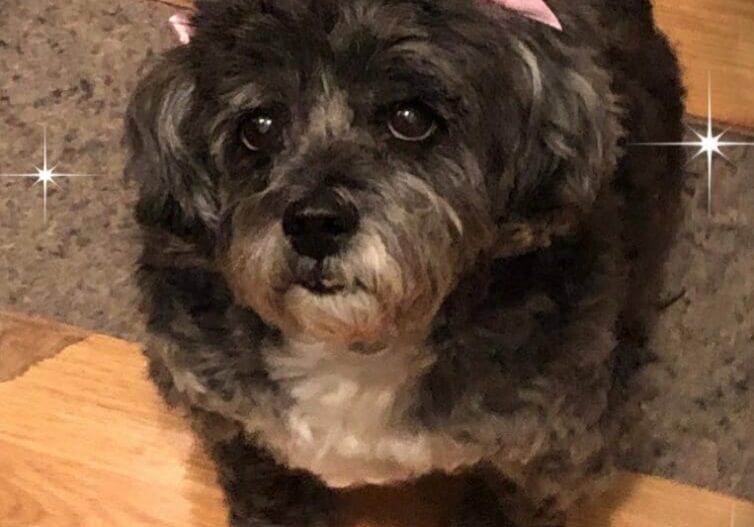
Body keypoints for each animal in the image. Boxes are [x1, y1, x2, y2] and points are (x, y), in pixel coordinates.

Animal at [126, 2, 684, 524]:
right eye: (258, 127)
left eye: (411, 120)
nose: (314, 223)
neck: (359, 343)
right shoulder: (215, 399)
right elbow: (263, 478)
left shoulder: (561, 447)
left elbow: (514, 503)